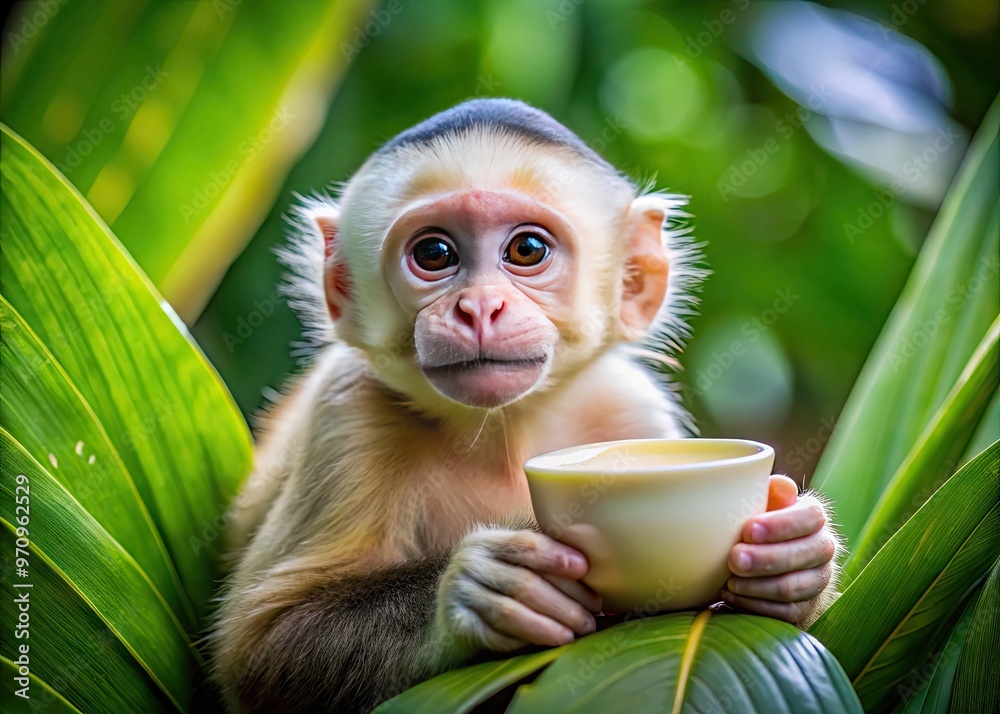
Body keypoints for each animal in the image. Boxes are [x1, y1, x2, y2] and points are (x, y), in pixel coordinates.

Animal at [211, 98, 841, 713]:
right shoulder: (349, 409)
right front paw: (479, 590)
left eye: (527, 249)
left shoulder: (629, 410)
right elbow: (262, 648)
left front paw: (793, 557)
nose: (479, 307)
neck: (501, 429)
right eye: (434, 253)